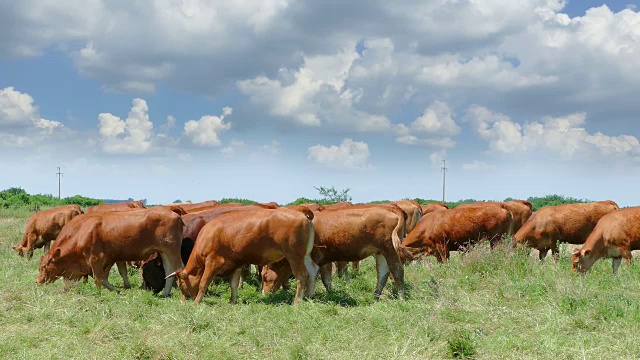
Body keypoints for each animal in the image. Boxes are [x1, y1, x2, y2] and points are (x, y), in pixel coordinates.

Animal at [37, 207, 184, 296]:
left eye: (44, 267)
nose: (37, 281)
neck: (82, 233)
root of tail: (170, 210)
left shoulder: (96, 259)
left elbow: (98, 279)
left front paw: (99, 294)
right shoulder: (108, 259)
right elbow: (104, 278)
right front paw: (116, 291)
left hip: (172, 251)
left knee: (177, 269)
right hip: (164, 252)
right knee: (169, 271)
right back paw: (165, 293)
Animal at [169, 208, 316, 304]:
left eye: (180, 284)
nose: (183, 301)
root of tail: (302, 214)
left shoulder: (213, 262)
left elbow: (203, 283)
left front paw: (197, 303)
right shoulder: (235, 263)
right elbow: (233, 284)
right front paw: (232, 302)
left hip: (295, 256)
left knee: (302, 276)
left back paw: (297, 301)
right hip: (306, 256)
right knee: (313, 272)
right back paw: (309, 296)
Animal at [262, 205, 404, 300]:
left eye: (264, 275)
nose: (264, 293)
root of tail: (388, 208)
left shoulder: (316, 258)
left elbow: (316, 277)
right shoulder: (324, 260)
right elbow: (326, 279)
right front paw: (330, 293)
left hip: (389, 249)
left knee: (397, 270)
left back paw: (401, 297)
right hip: (380, 253)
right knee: (382, 273)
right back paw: (375, 297)